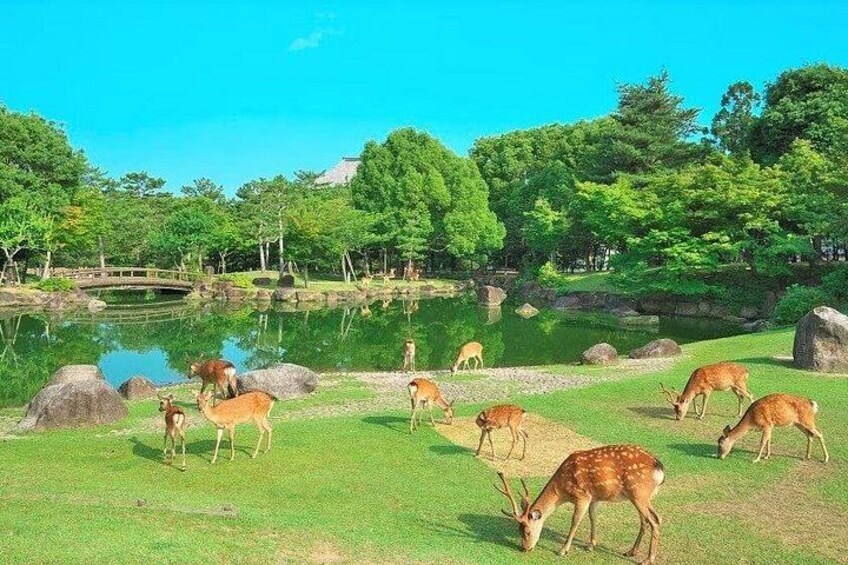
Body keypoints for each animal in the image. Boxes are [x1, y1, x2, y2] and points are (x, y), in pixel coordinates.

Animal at [495, 445, 664, 564]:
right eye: (518, 530)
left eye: (528, 531)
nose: (525, 548)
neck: (562, 491)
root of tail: (660, 468)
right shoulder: (594, 497)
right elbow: (593, 518)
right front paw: (590, 545)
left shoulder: (582, 496)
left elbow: (575, 521)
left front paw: (563, 550)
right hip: (641, 497)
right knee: (648, 520)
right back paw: (631, 552)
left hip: (638, 493)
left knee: (655, 520)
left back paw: (648, 559)